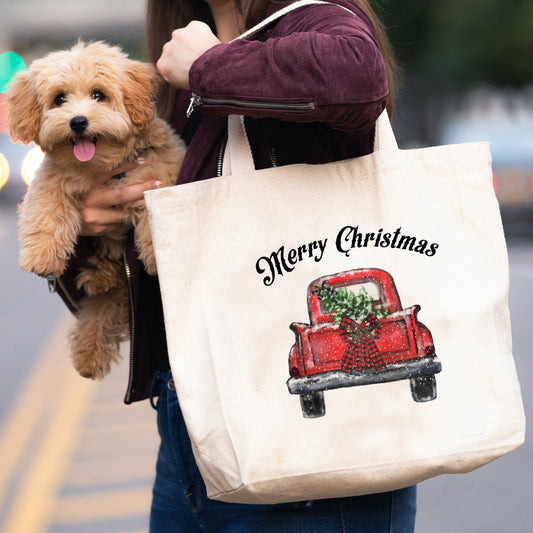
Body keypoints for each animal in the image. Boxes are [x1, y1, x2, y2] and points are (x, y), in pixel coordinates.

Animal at [6, 42, 187, 378]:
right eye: (59, 99)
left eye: (98, 95)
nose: (78, 122)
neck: (100, 166)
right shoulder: (51, 179)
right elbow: (45, 211)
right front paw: (41, 256)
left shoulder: (160, 168)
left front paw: (157, 254)